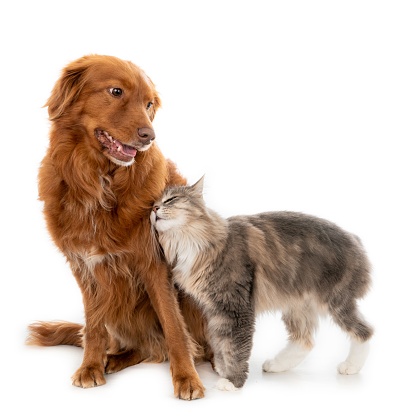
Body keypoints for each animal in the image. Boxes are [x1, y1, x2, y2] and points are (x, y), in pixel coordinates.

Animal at [26, 55, 208, 400]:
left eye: (149, 104)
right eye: (116, 91)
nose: (149, 135)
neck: (97, 180)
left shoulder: (154, 263)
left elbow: (174, 326)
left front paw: (187, 378)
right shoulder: (85, 267)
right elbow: (94, 326)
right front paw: (90, 367)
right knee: (140, 346)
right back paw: (112, 359)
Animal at [150, 178, 374, 390]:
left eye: (171, 199)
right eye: (154, 202)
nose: (153, 208)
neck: (190, 242)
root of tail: (355, 240)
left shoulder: (235, 308)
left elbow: (235, 348)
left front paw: (233, 381)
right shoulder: (215, 310)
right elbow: (220, 343)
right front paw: (222, 368)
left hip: (335, 301)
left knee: (365, 332)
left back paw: (351, 366)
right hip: (297, 306)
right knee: (304, 341)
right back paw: (276, 364)